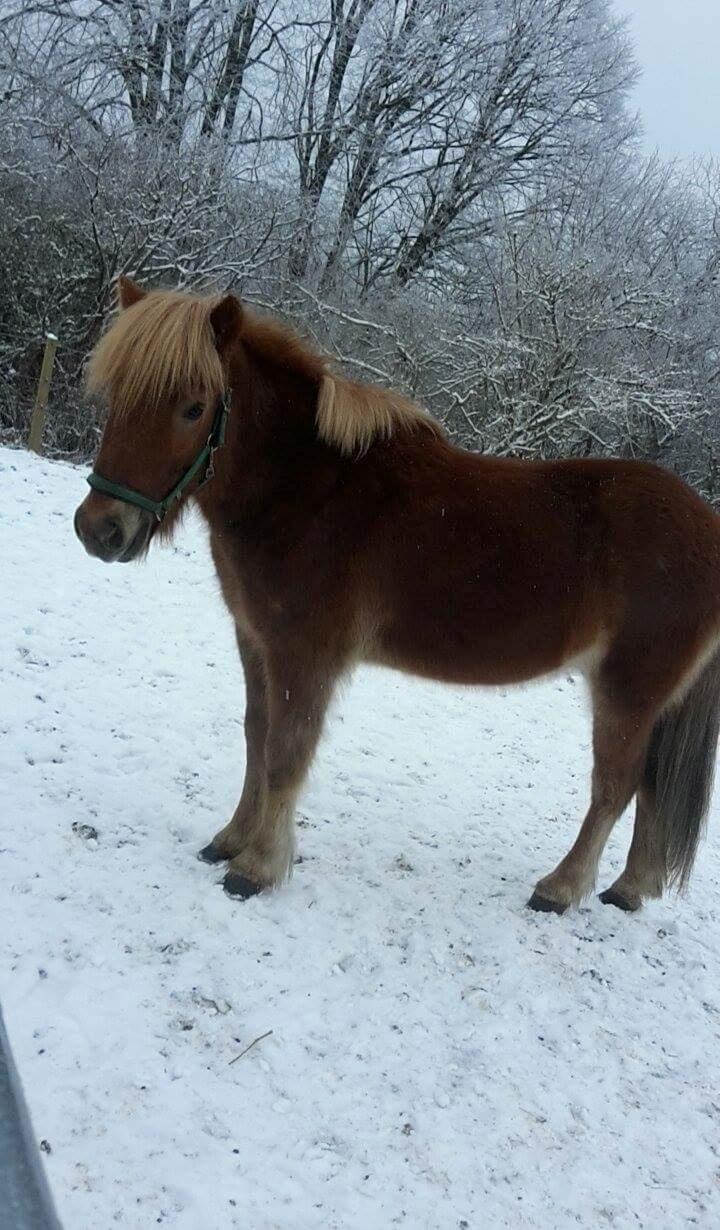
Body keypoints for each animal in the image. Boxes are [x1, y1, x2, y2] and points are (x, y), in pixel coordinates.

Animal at [71, 281, 718, 915]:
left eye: (193, 408)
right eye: (116, 395)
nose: (100, 530)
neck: (312, 492)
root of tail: (707, 524)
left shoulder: (303, 656)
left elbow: (285, 752)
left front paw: (255, 868)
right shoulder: (255, 641)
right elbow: (257, 736)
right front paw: (231, 839)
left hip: (627, 692)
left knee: (615, 787)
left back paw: (559, 889)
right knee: (652, 786)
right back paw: (628, 889)